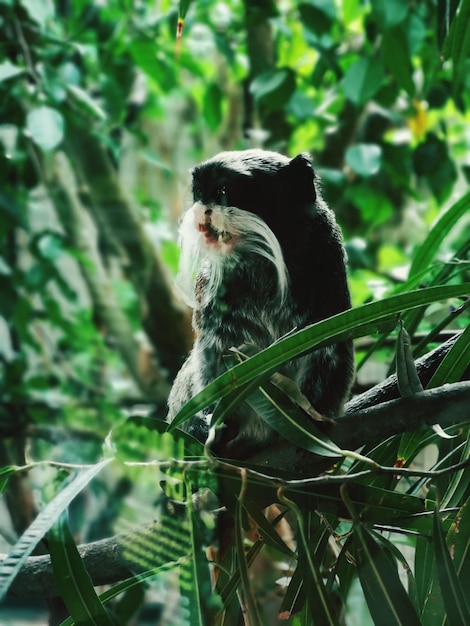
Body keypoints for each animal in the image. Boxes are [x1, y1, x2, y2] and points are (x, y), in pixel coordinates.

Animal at [167, 149, 354, 456]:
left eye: (223, 191)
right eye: (200, 194)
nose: (202, 213)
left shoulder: (326, 262)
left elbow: (328, 347)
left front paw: (310, 420)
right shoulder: (214, 290)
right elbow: (215, 354)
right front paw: (211, 423)